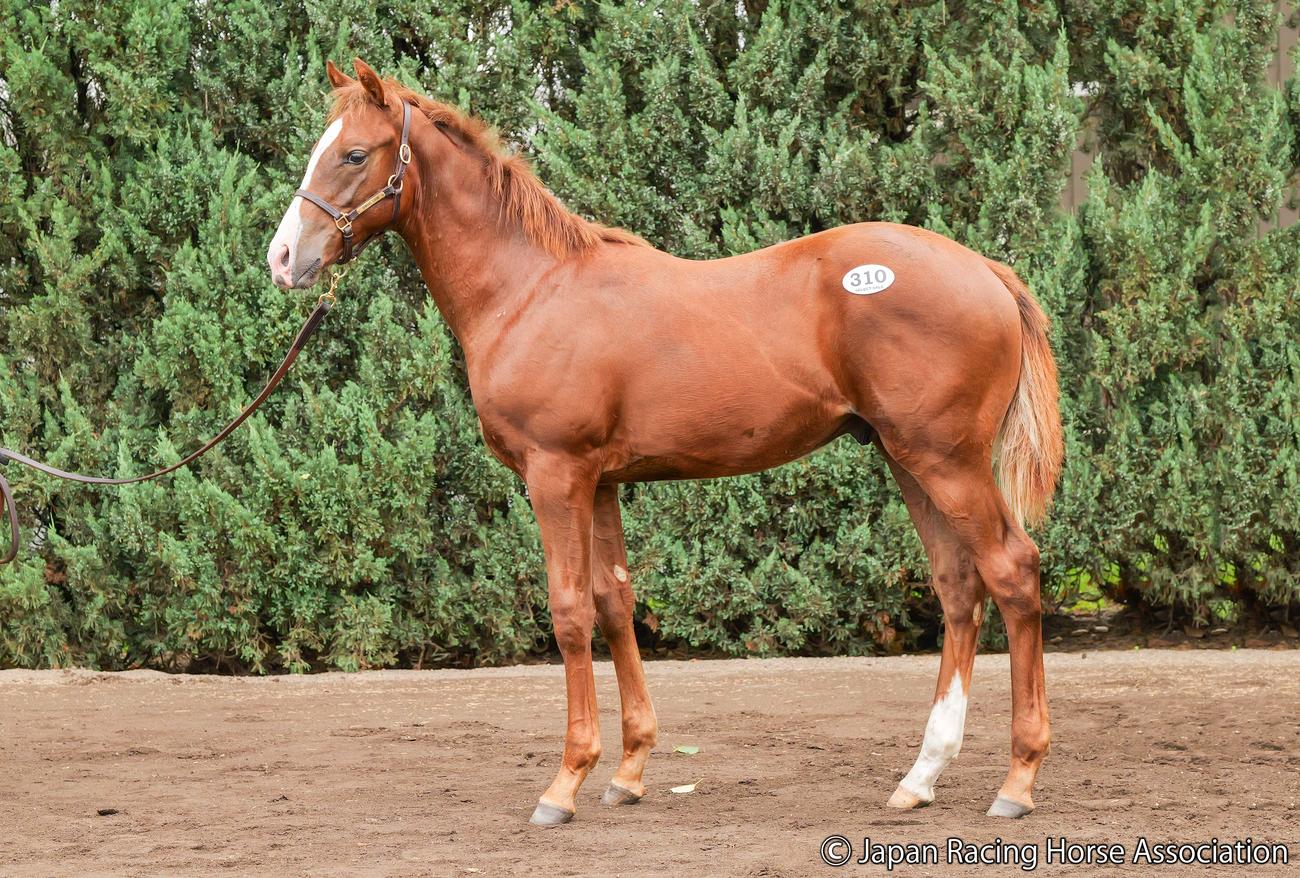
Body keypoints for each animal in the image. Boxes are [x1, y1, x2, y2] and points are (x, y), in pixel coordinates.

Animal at [267, 58, 1064, 827]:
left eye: (353, 154)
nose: (283, 258)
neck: (531, 289)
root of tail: (986, 270)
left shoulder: (555, 476)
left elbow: (569, 613)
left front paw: (565, 783)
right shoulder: (602, 483)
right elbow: (615, 603)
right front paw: (627, 773)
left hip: (947, 462)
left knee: (1012, 572)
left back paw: (1018, 781)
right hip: (907, 459)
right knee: (959, 587)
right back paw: (920, 778)